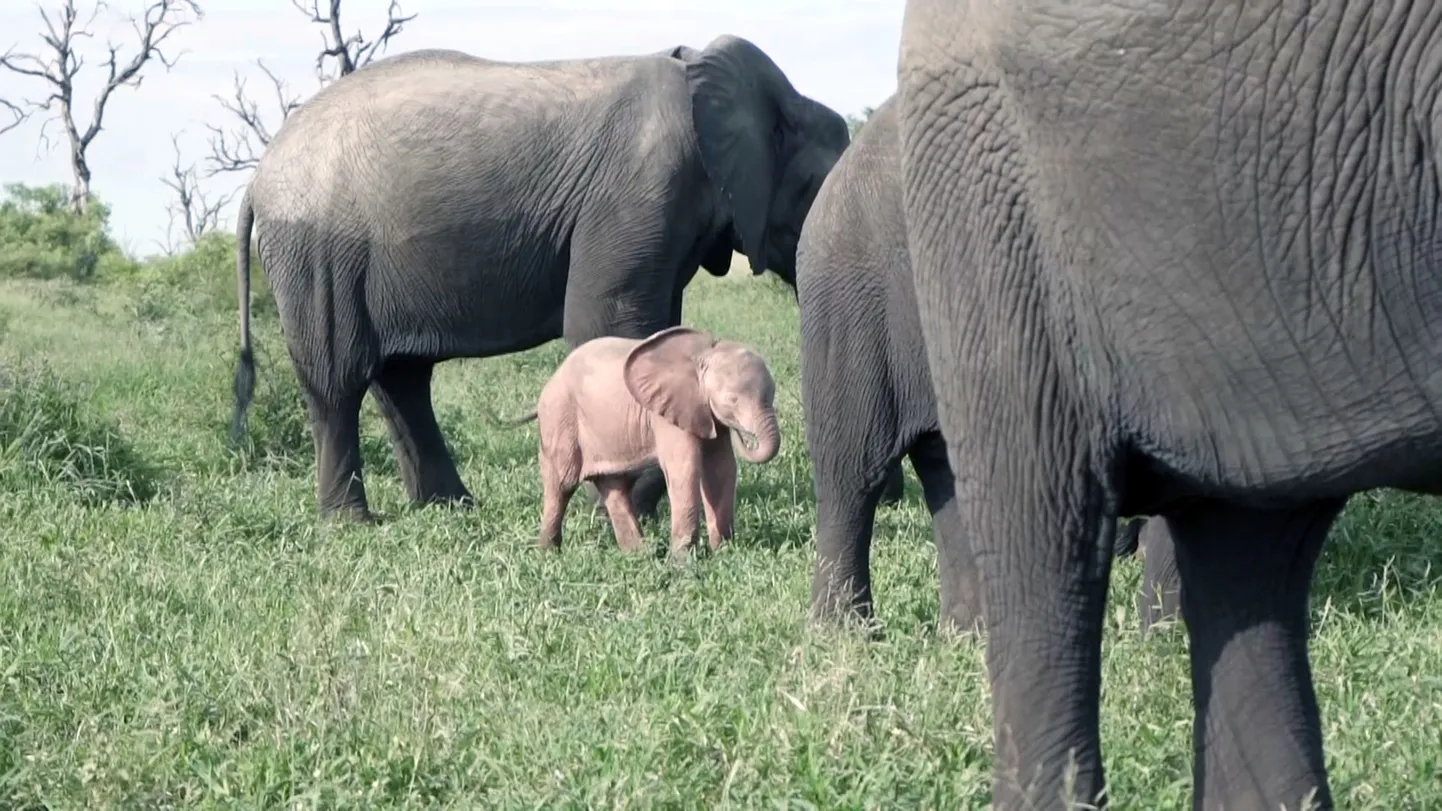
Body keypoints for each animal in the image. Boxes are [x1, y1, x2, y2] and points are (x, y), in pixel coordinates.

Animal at [229, 36, 847, 516]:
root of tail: (258, 176)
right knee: (338, 380)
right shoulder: (639, 189)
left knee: (402, 379)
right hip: (320, 257)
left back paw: (452, 510)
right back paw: (352, 523)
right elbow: (604, 320)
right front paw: (630, 500)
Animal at [524, 321, 784, 554]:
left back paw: (639, 554)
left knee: (615, 486)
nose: (743, 434)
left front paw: (724, 552)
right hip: (560, 417)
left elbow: (721, 469)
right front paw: (683, 562)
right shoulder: (667, 413)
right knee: (562, 483)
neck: (705, 353)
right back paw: (548, 554)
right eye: (732, 400)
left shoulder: (704, 413)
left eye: (773, 392)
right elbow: (684, 468)